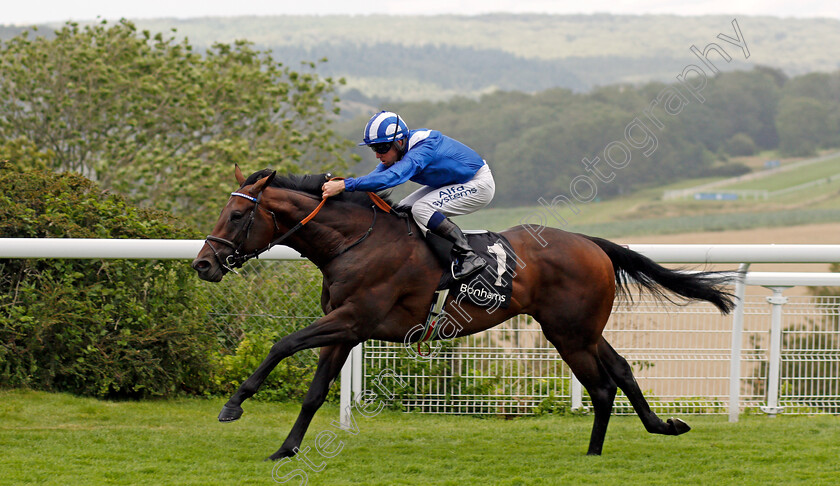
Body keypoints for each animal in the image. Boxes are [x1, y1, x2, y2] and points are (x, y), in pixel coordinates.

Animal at [190, 167, 736, 460]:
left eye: (236, 215)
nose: (203, 264)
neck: (354, 242)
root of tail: (592, 243)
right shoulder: (345, 329)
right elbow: (314, 392)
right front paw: (286, 449)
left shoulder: (354, 318)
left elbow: (282, 343)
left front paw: (234, 403)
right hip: (580, 328)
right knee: (620, 371)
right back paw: (662, 426)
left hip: (569, 333)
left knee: (602, 386)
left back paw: (594, 453)